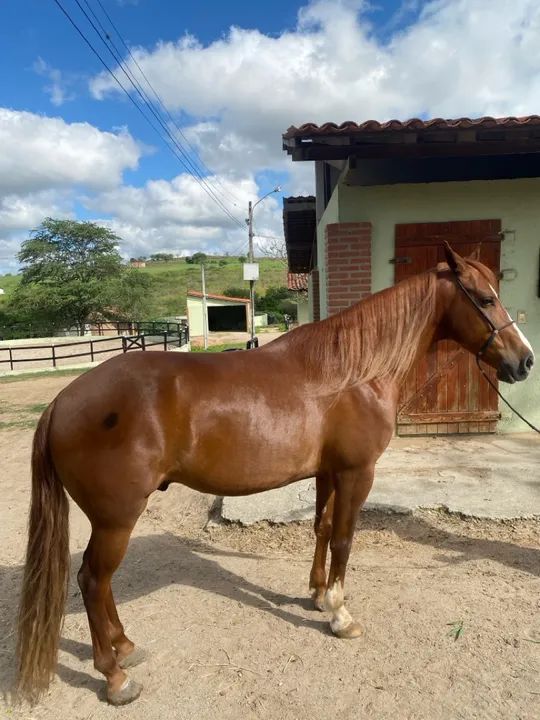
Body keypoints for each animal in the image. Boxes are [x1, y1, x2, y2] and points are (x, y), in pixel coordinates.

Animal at [16, 244, 534, 705]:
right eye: (484, 298)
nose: (525, 361)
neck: (353, 374)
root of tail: (62, 400)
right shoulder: (357, 473)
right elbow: (344, 538)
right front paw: (341, 615)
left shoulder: (328, 472)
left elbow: (321, 528)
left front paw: (318, 595)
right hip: (116, 519)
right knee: (91, 580)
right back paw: (115, 676)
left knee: (98, 584)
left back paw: (126, 647)